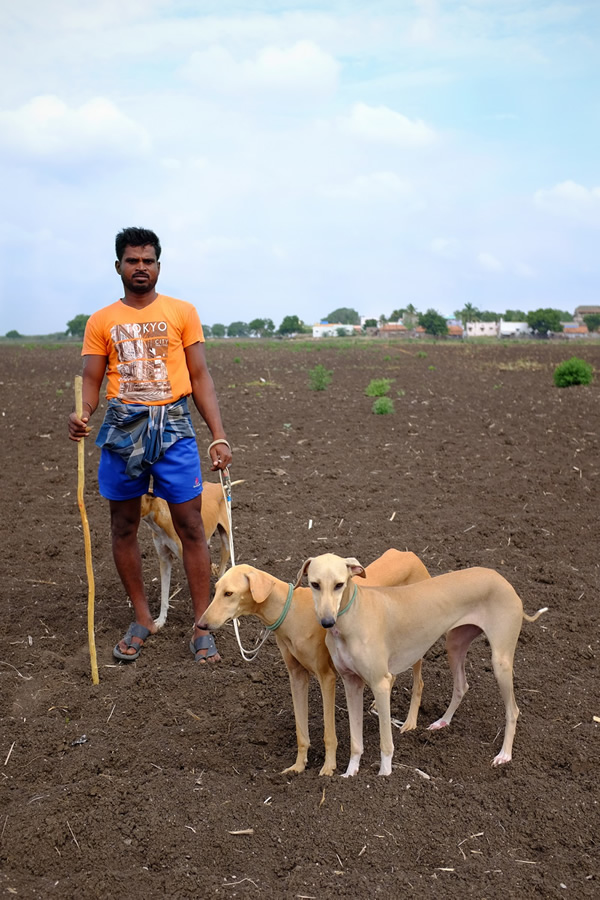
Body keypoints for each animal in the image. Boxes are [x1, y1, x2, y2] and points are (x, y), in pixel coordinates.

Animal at [141, 478, 241, 624]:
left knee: (222, 569)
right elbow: (164, 593)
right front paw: (161, 620)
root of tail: (218, 486)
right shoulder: (164, 559)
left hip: (226, 541)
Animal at [199, 548, 428, 772]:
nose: (200, 625)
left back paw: (409, 723)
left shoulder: (326, 677)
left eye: (229, 593)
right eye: (216, 589)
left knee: (418, 682)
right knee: (391, 676)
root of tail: (408, 554)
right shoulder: (297, 676)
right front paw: (298, 767)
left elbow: (329, 734)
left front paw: (328, 769)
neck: (290, 611)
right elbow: (301, 731)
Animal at [296, 552, 548, 776]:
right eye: (315, 584)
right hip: (454, 646)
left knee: (513, 710)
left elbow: (386, 742)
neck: (352, 616)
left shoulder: (380, 684)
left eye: (339, 585)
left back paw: (504, 755)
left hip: (500, 662)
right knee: (462, 686)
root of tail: (503, 580)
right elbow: (356, 740)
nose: (327, 622)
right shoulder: (351, 684)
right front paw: (350, 773)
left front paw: (385, 775)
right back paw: (442, 722)